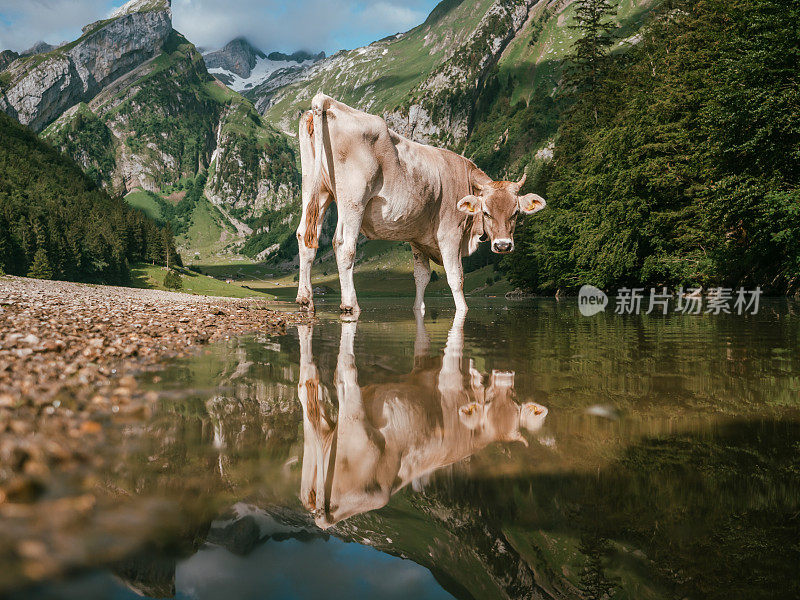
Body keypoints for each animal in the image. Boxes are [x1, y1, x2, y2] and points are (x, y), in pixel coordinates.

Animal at [296, 92, 548, 318]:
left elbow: (422, 277)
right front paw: (463, 309)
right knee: (343, 244)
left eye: (515, 213)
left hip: (315, 190)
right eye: (486, 212)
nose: (503, 245)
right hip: (353, 199)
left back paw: (305, 299)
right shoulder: (449, 233)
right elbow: (456, 276)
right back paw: (350, 304)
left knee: (305, 237)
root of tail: (330, 103)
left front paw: (419, 309)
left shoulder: (418, 238)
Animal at [296, 316, 548, 528]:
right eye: (489, 401)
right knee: (344, 374)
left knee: (307, 393)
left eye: (515, 401)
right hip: (357, 422)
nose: (505, 375)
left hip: (314, 457)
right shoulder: (446, 378)